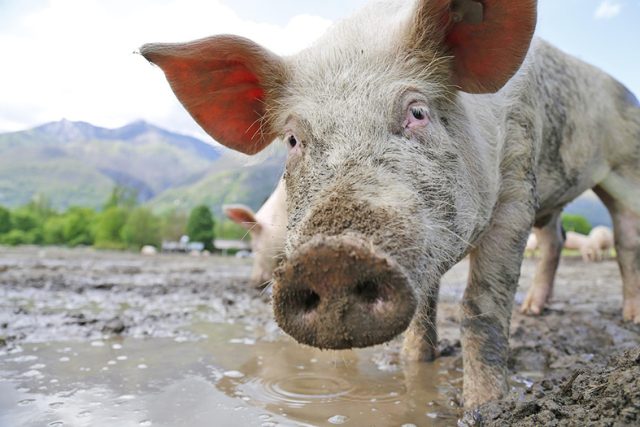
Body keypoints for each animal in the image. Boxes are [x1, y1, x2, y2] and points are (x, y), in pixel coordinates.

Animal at [141, 0, 640, 407]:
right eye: (293, 140)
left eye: (417, 112)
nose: (332, 258)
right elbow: (422, 308)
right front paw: (414, 368)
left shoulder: (518, 179)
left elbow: (481, 309)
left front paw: (485, 406)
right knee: (555, 239)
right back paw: (535, 310)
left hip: (623, 168)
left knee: (626, 240)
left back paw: (628, 317)